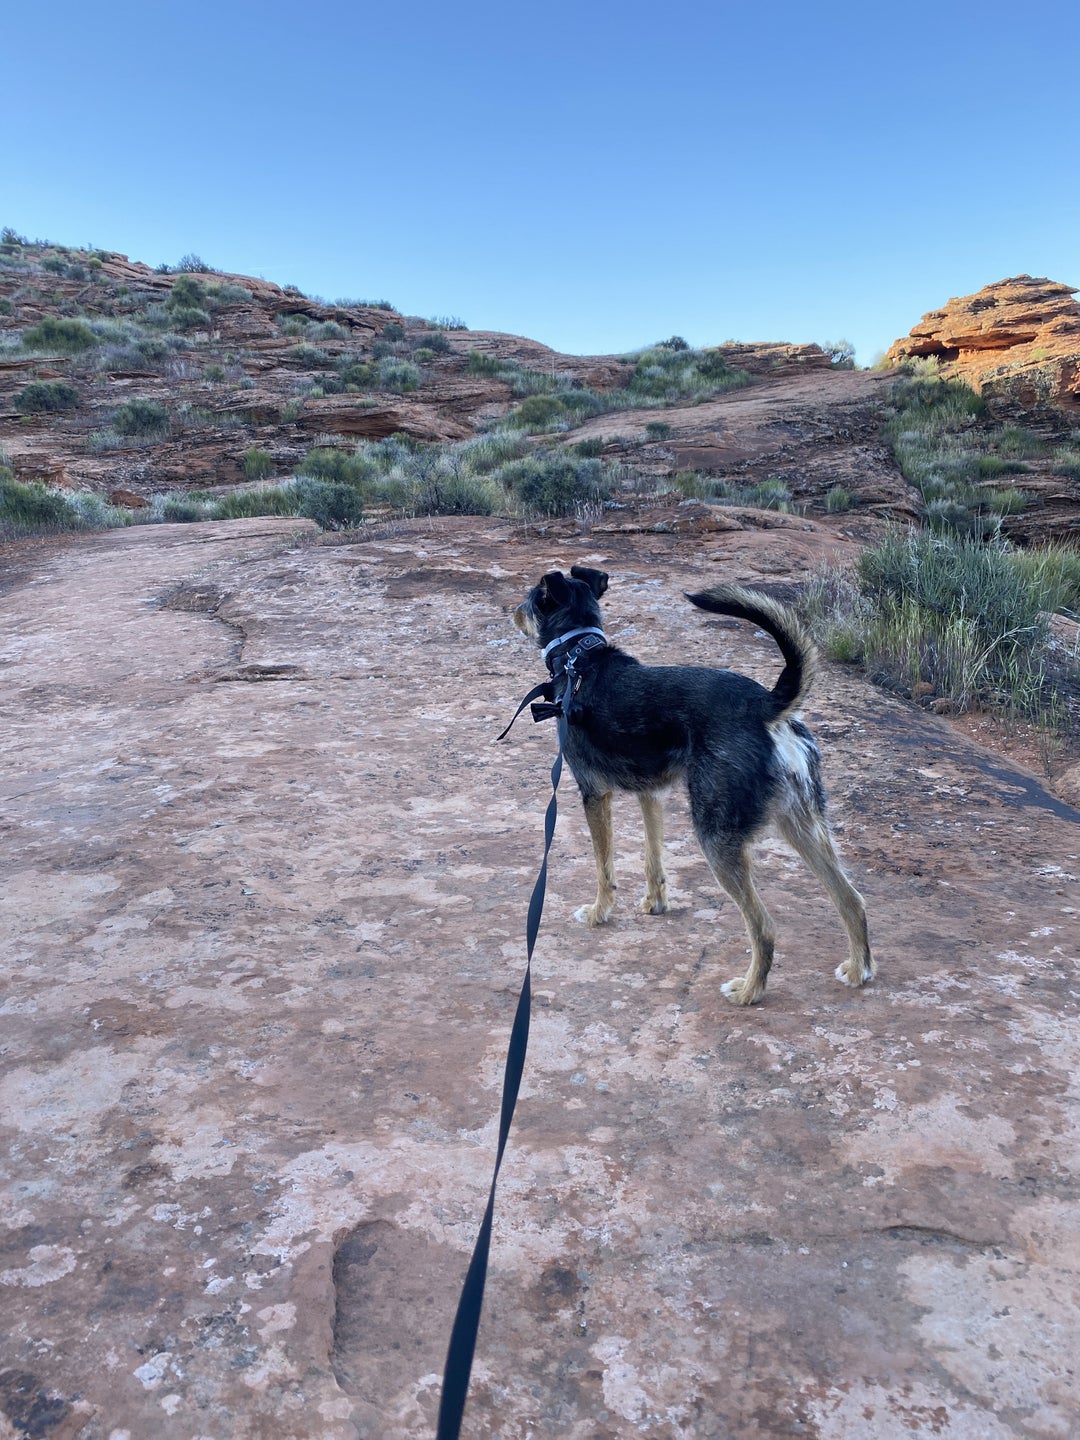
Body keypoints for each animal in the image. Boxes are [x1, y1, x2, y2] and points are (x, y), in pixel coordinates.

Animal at [512, 561, 875, 1002]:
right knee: (850, 899)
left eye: (531, 600)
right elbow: (652, 859)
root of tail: (765, 707)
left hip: (717, 837)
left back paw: (749, 990)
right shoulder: (650, 794)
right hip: (801, 824)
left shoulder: (594, 794)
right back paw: (858, 969)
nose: (512, 612)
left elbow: (604, 868)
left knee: (764, 926)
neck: (580, 659)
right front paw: (654, 903)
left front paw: (599, 912)